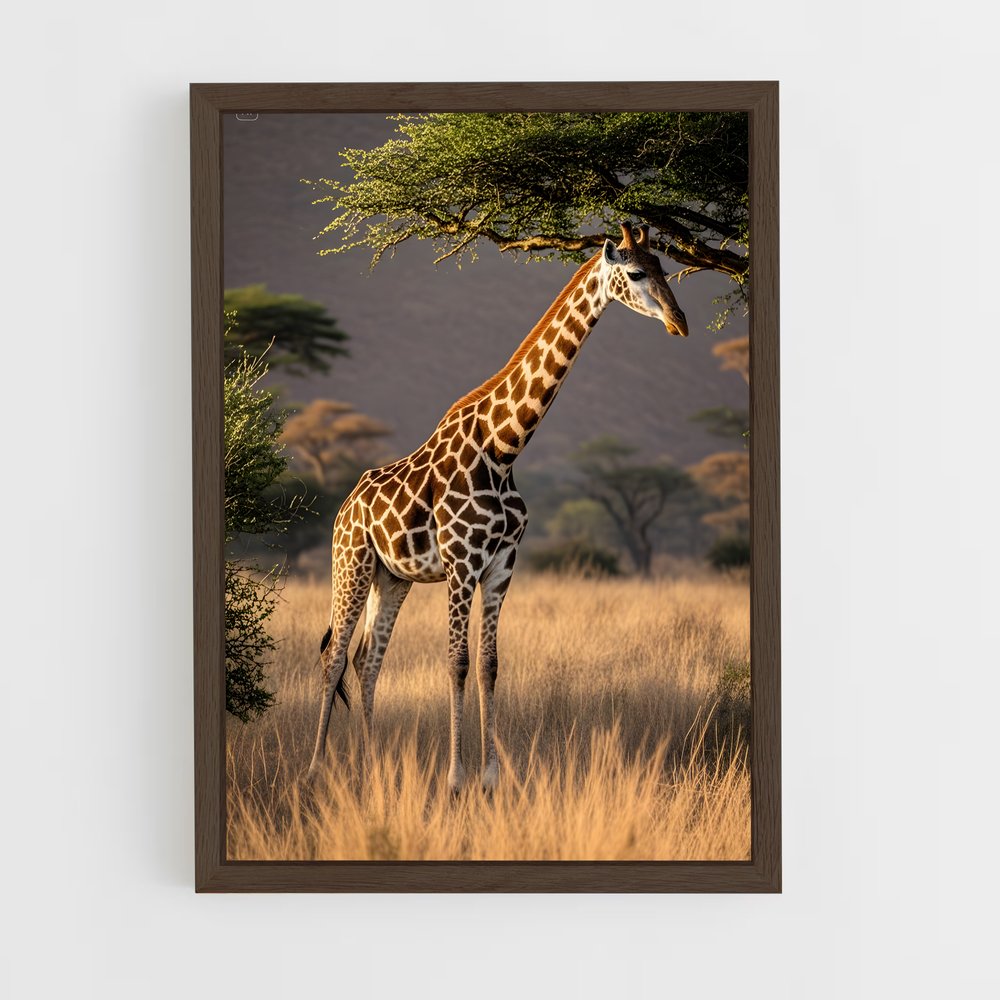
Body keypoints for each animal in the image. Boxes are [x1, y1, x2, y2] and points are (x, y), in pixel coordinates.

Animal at [306, 222, 688, 793]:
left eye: (667, 266)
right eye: (638, 273)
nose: (679, 322)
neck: (504, 447)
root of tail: (344, 508)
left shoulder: (503, 564)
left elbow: (489, 664)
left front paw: (489, 778)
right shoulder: (462, 562)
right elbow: (457, 662)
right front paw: (455, 779)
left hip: (391, 577)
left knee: (367, 659)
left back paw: (371, 768)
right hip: (350, 562)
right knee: (333, 657)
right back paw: (313, 771)